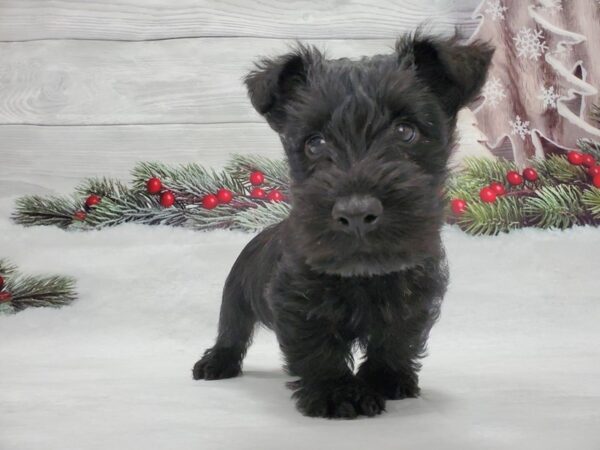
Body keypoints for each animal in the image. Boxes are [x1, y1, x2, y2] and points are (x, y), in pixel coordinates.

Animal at [192, 31, 492, 418]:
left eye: (405, 131)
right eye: (315, 142)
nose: (357, 213)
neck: (363, 274)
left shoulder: (413, 294)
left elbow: (397, 336)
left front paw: (387, 380)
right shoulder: (297, 300)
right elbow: (318, 345)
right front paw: (337, 392)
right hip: (235, 299)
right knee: (231, 332)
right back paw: (216, 362)